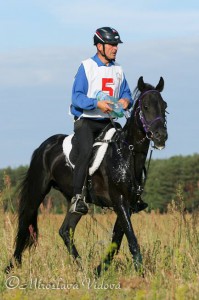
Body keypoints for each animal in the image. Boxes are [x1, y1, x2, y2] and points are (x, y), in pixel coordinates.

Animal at [5, 76, 168, 276]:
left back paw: (83, 270)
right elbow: (131, 239)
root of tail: (45, 146)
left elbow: (117, 240)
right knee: (24, 225)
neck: (126, 154)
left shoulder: (128, 205)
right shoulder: (119, 201)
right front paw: (141, 273)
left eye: (164, 106)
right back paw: (11, 266)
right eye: (145, 106)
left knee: (65, 231)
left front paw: (99, 271)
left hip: (76, 201)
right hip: (37, 192)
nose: (161, 136)